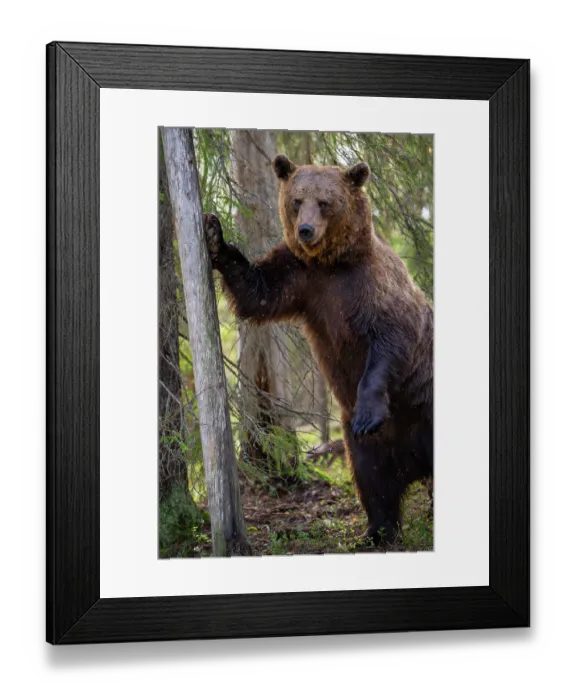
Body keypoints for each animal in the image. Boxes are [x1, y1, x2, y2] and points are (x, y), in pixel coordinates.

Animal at [203, 154, 433, 546]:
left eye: (325, 202)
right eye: (297, 200)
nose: (306, 231)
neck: (332, 264)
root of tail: (414, 464)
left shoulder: (373, 289)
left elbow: (390, 341)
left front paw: (368, 413)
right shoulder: (302, 280)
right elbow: (258, 291)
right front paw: (215, 236)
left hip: (424, 407)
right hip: (372, 447)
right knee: (373, 479)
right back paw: (375, 533)